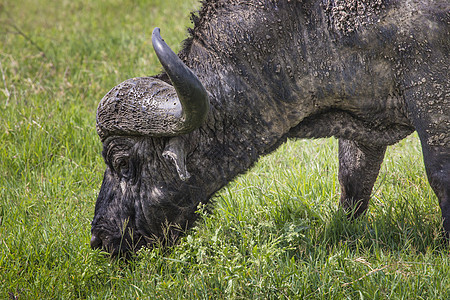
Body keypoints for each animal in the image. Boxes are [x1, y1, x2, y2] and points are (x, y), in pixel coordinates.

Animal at [89, 0, 448, 255]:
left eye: (122, 162)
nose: (99, 238)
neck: (312, 22)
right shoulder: (362, 117)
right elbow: (354, 181)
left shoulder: (432, 94)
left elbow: (440, 176)